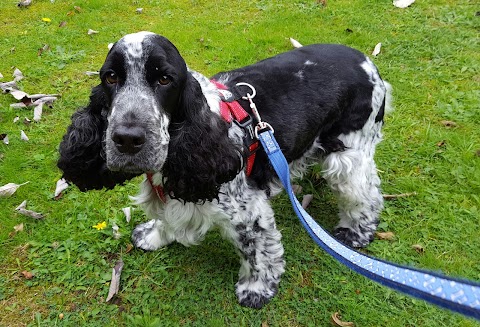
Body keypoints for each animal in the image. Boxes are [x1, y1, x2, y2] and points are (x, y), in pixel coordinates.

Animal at [58, 31, 392, 310]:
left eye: (165, 79)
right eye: (111, 77)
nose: (127, 138)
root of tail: (366, 62)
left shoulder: (248, 212)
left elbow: (257, 252)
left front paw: (256, 290)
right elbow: (164, 215)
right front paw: (153, 235)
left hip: (352, 154)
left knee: (366, 195)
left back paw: (355, 233)